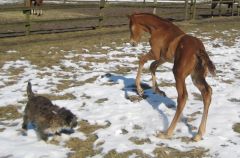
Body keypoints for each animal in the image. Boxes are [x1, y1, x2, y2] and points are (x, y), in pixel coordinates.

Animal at [128, 12, 217, 141]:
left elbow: (142, 61)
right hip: (196, 76)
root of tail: (199, 49)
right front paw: (158, 90)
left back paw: (167, 133)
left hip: (178, 74)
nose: (132, 43)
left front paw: (140, 89)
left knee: (183, 97)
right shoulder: (163, 57)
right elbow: (152, 66)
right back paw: (198, 134)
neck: (159, 28)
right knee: (207, 92)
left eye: (130, 27)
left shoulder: (155, 53)